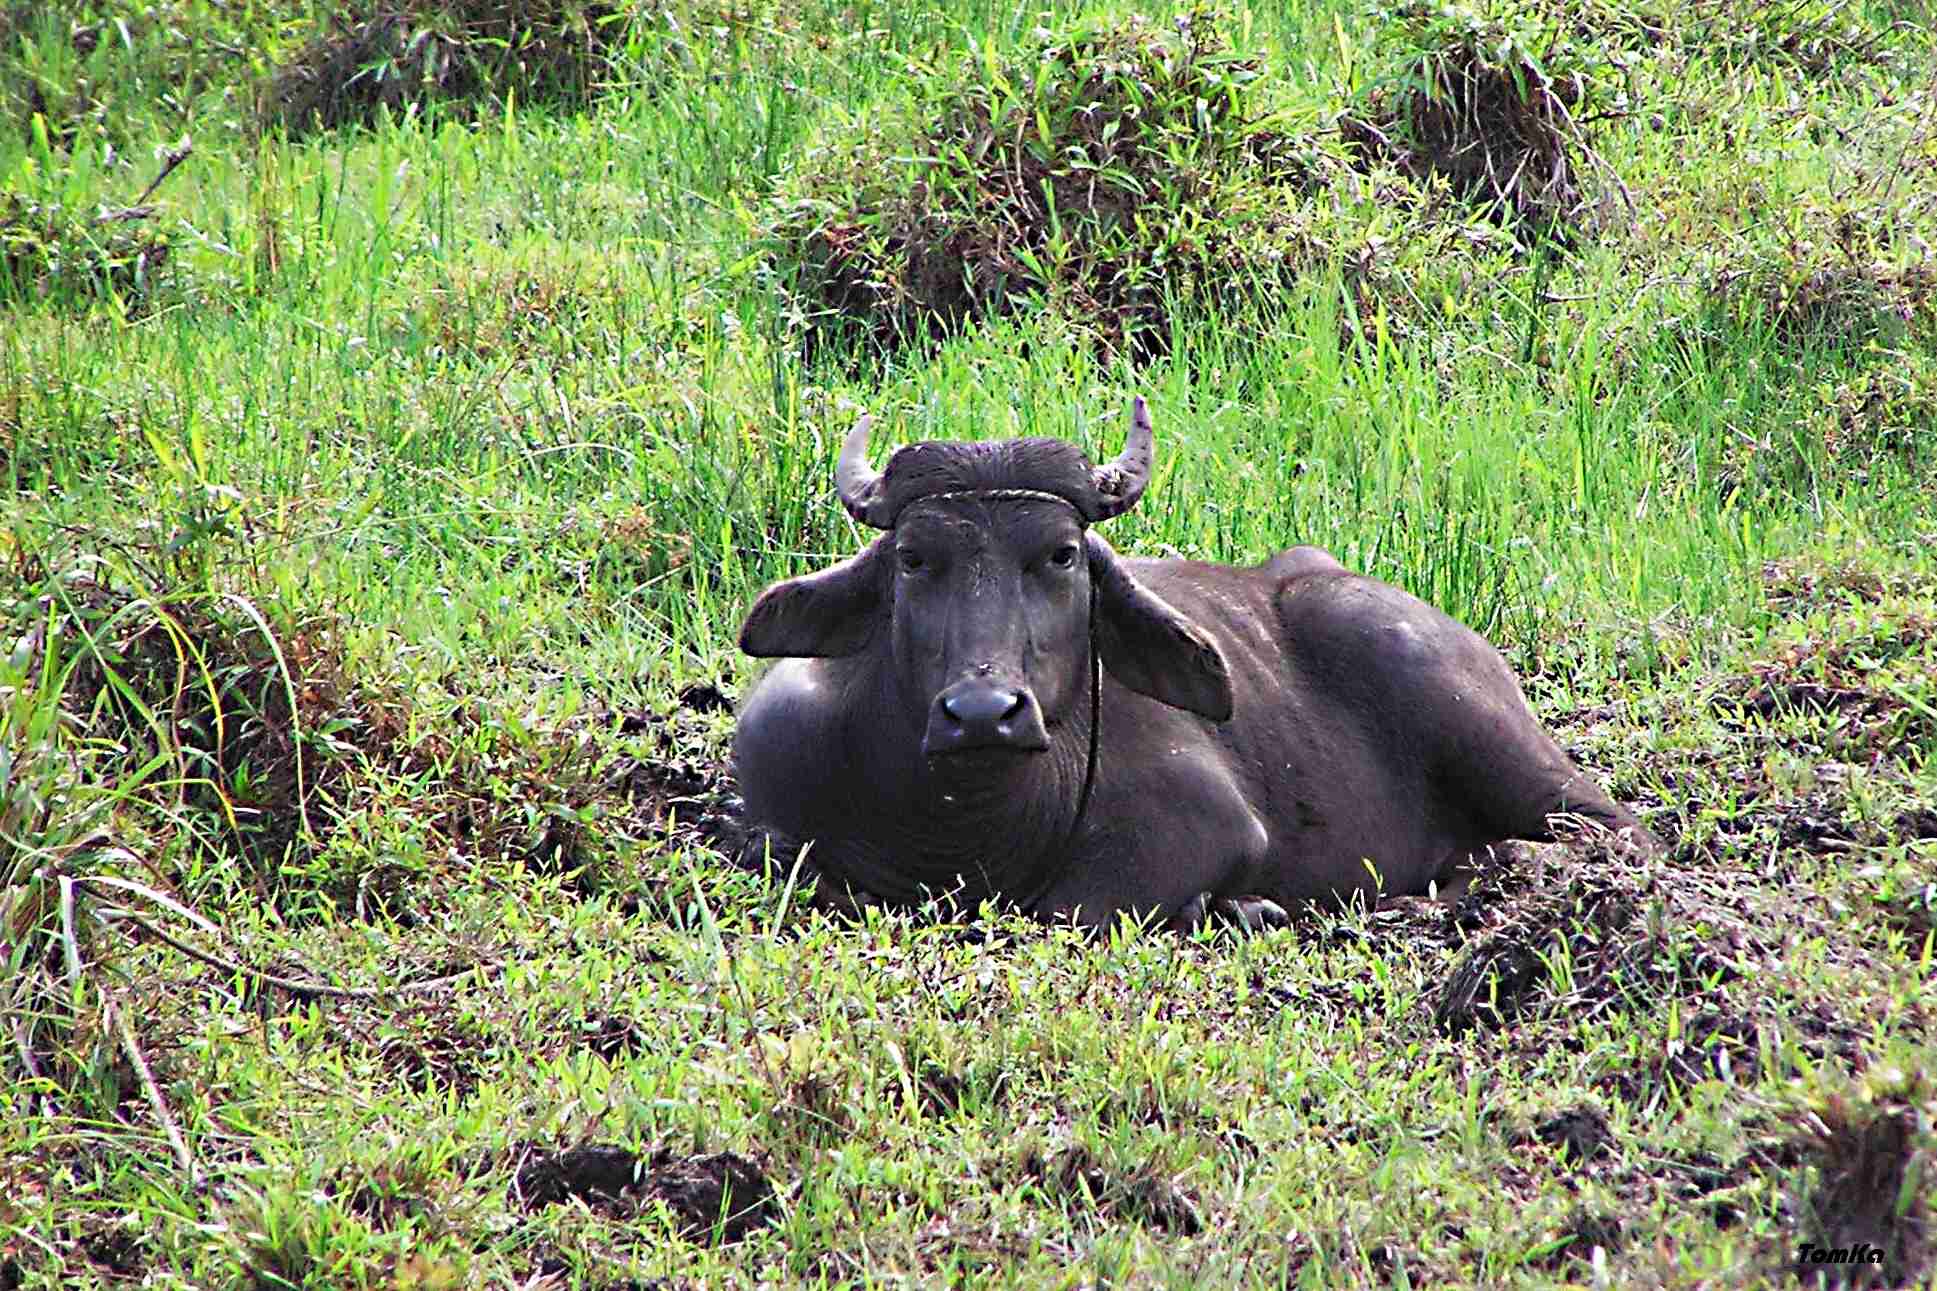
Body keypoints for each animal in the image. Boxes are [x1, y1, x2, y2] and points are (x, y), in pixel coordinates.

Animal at [732, 399, 1658, 926]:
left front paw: (1239, 904)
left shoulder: (1200, 825)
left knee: (1615, 831)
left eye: (1061, 554)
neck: (962, 823)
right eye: (913, 557)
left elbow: (1074, 909)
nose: (983, 713)